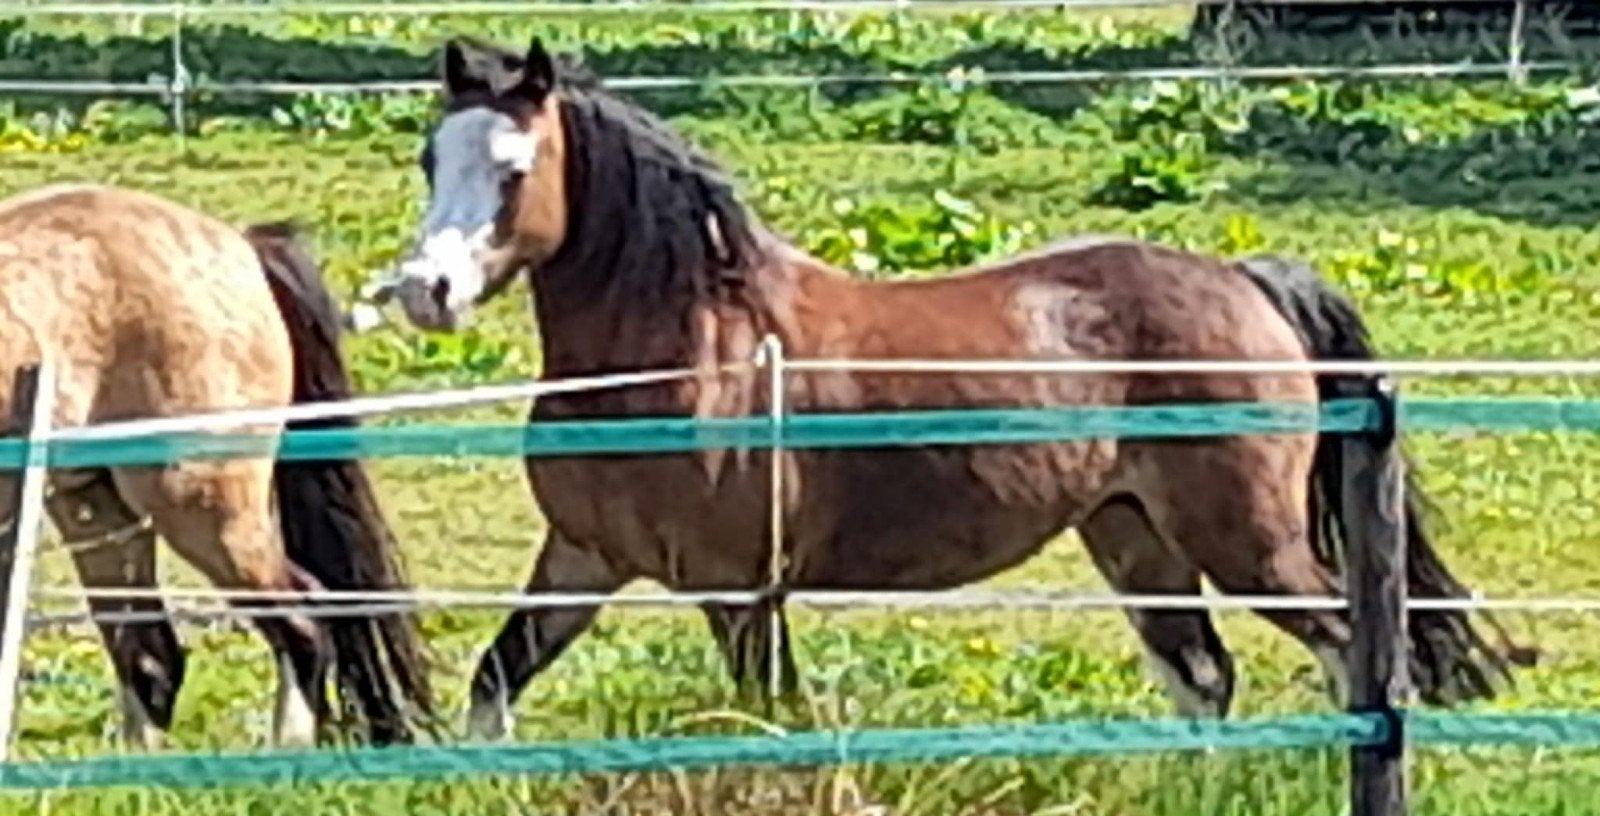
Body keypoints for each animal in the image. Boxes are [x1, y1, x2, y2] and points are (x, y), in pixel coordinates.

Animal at [376, 36, 1524, 739]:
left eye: (515, 171)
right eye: (432, 162)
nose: (428, 292)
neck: (691, 351)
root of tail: (1244, 279)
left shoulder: (738, 589)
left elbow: (770, 715)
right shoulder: (582, 560)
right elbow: (494, 683)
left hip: (1250, 543)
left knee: (1349, 652)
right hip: (1134, 538)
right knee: (1203, 678)